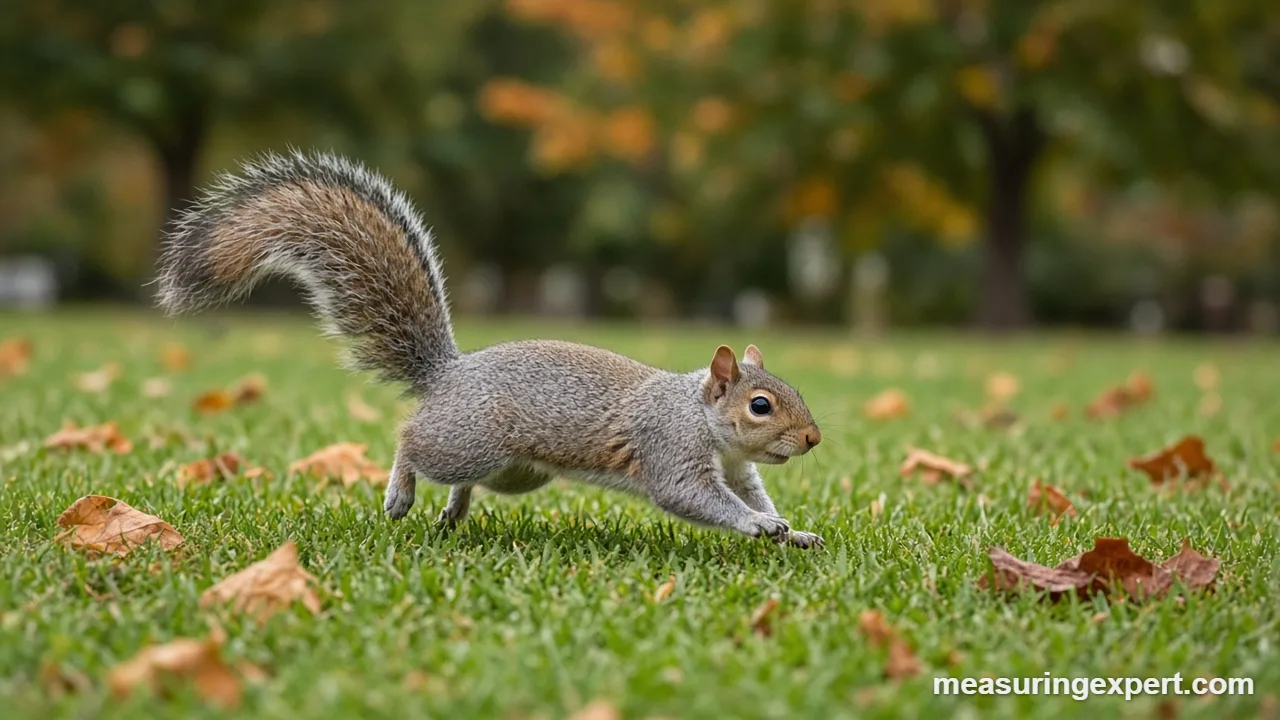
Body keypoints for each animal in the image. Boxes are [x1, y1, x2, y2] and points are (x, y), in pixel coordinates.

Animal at [156, 151, 825, 548]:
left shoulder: (738, 468)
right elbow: (696, 497)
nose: (814, 438)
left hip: (515, 472)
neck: (701, 414)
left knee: (468, 481)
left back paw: (453, 512)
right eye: (761, 405)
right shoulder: (670, 450)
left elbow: (751, 491)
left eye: (791, 391)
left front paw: (790, 531)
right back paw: (400, 494)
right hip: (469, 440)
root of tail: (448, 373)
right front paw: (760, 524)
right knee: (411, 440)